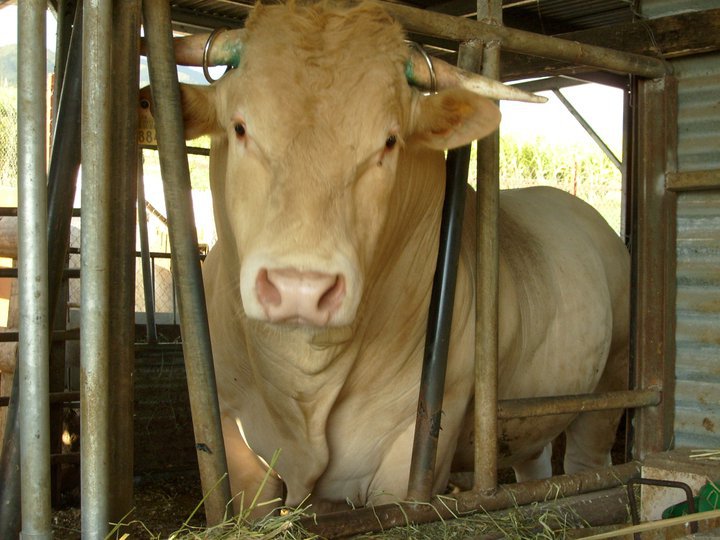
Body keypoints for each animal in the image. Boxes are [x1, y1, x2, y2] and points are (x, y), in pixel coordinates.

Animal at [160, 0, 628, 516]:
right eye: (241, 127)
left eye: (388, 141)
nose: (299, 288)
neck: (305, 376)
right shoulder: (229, 432)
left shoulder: (414, 450)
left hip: (612, 381)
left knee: (589, 460)